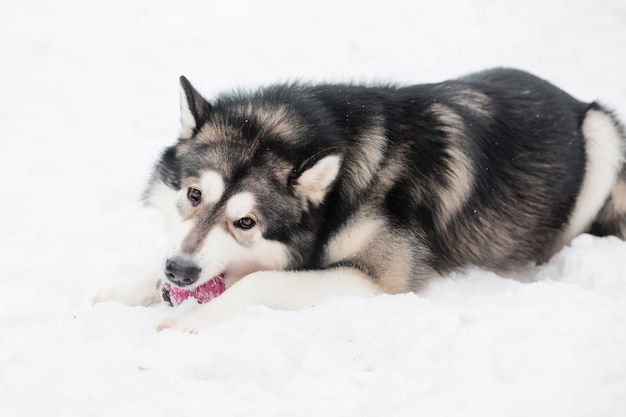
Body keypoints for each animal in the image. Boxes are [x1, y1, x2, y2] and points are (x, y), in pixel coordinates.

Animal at [94, 68, 624, 332]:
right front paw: (117, 292)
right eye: (193, 194)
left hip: (602, 133)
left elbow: (259, 282)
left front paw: (191, 323)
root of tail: (568, 95)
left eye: (246, 222)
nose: (180, 272)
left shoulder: (382, 280)